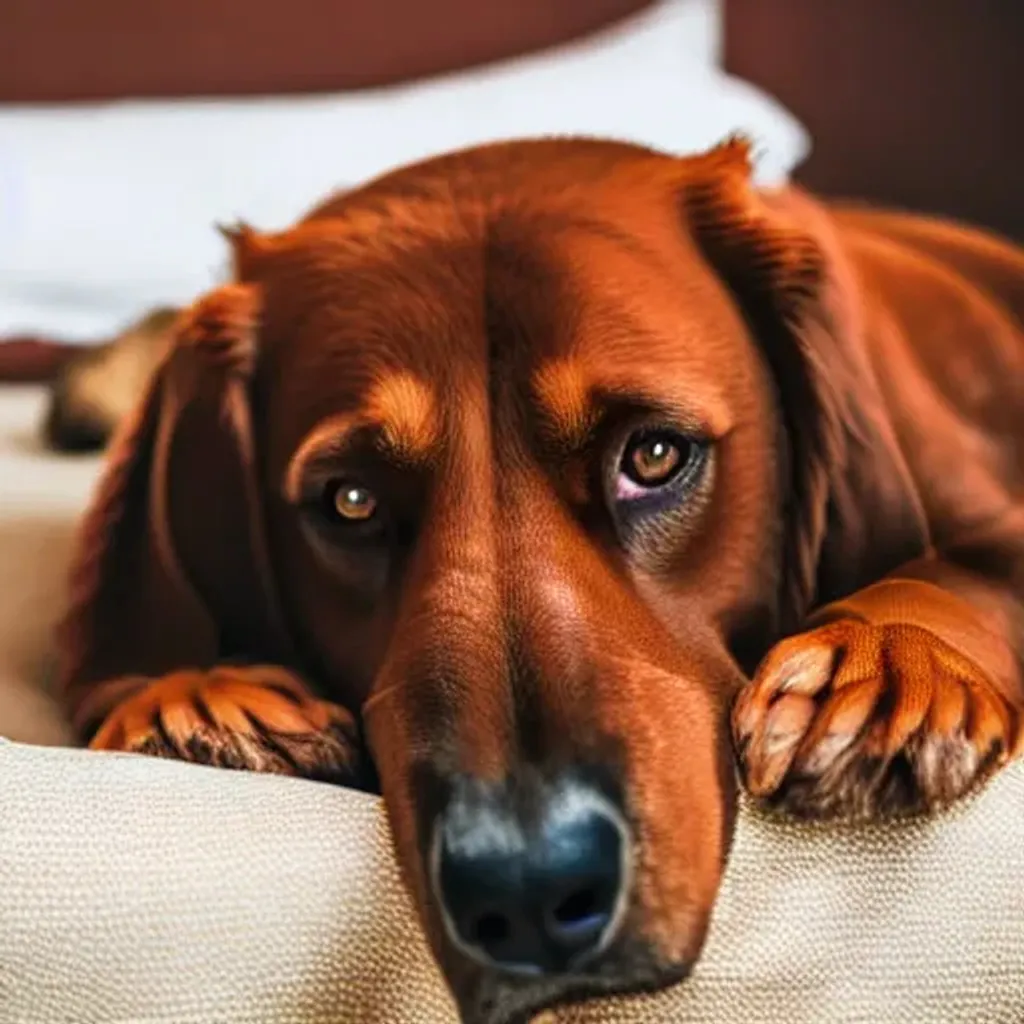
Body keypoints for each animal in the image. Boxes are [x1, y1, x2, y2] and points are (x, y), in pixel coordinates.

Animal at [54, 140, 1024, 1024]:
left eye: (654, 454)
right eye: (352, 500)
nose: (528, 897)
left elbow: (954, 577)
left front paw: (885, 661)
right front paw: (197, 693)